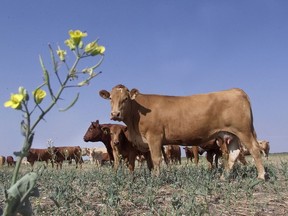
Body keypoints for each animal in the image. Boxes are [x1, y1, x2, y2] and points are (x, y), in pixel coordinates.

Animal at [99, 84, 266, 179]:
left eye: (126, 98)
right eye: (110, 98)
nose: (115, 114)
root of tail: (236, 90)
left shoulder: (154, 137)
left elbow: (156, 159)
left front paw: (156, 178)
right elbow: (150, 161)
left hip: (244, 131)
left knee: (254, 149)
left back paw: (261, 176)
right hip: (232, 134)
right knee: (234, 152)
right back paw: (224, 177)